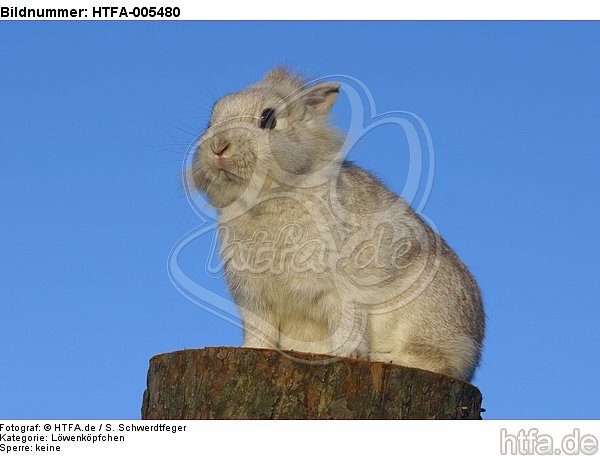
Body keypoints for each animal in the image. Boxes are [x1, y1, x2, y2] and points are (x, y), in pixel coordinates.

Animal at [190, 67, 486, 382]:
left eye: (268, 118)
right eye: (211, 118)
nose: (219, 147)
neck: (270, 197)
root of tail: (473, 349)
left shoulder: (343, 291)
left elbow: (348, 325)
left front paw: (348, 354)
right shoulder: (256, 301)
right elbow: (261, 334)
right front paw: (252, 350)